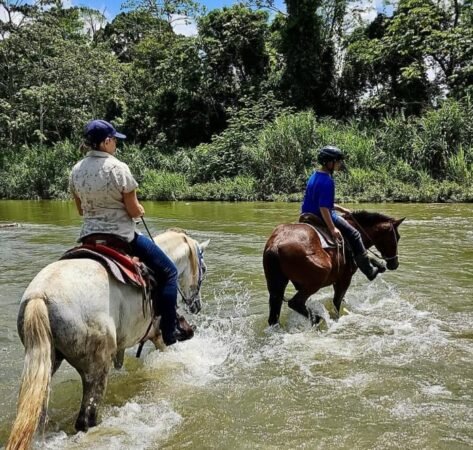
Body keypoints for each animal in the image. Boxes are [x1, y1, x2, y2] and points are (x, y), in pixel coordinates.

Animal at [6, 230, 209, 450]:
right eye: (204, 269)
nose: (196, 305)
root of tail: (39, 296)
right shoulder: (159, 336)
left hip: (47, 365)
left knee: (38, 417)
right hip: (97, 367)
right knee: (86, 420)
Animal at [263, 211, 405, 326]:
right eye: (397, 237)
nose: (395, 264)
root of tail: (276, 244)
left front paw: (379, 265)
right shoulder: (344, 279)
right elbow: (337, 302)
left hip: (276, 285)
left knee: (274, 317)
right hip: (315, 282)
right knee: (295, 303)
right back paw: (317, 319)